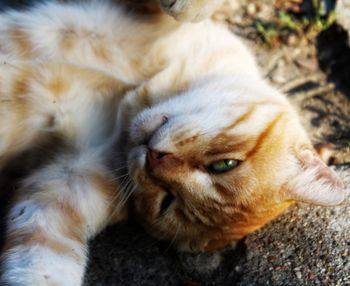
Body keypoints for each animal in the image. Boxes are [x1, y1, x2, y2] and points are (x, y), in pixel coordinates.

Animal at [0, 0, 346, 286]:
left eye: (166, 201)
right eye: (224, 164)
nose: (155, 156)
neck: (128, 102)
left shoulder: (65, 181)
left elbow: (41, 262)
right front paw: (188, 6)